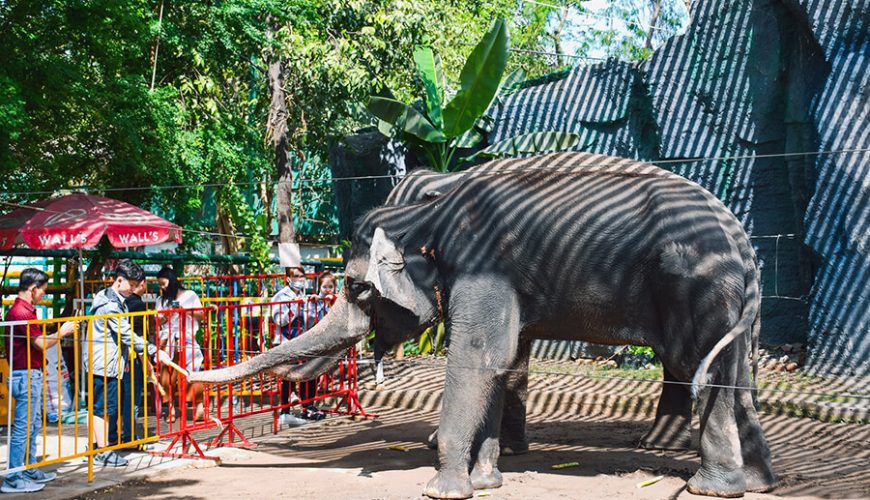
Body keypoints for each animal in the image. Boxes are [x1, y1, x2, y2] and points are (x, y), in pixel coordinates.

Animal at [190, 152, 776, 499]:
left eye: (358, 289)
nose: (188, 378)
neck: (429, 212)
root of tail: (738, 232)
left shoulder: (482, 267)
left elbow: (475, 361)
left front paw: (442, 489)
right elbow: (499, 363)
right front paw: (487, 479)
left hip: (697, 287)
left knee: (701, 367)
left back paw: (711, 488)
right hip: (734, 303)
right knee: (739, 376)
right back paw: (756, 482)